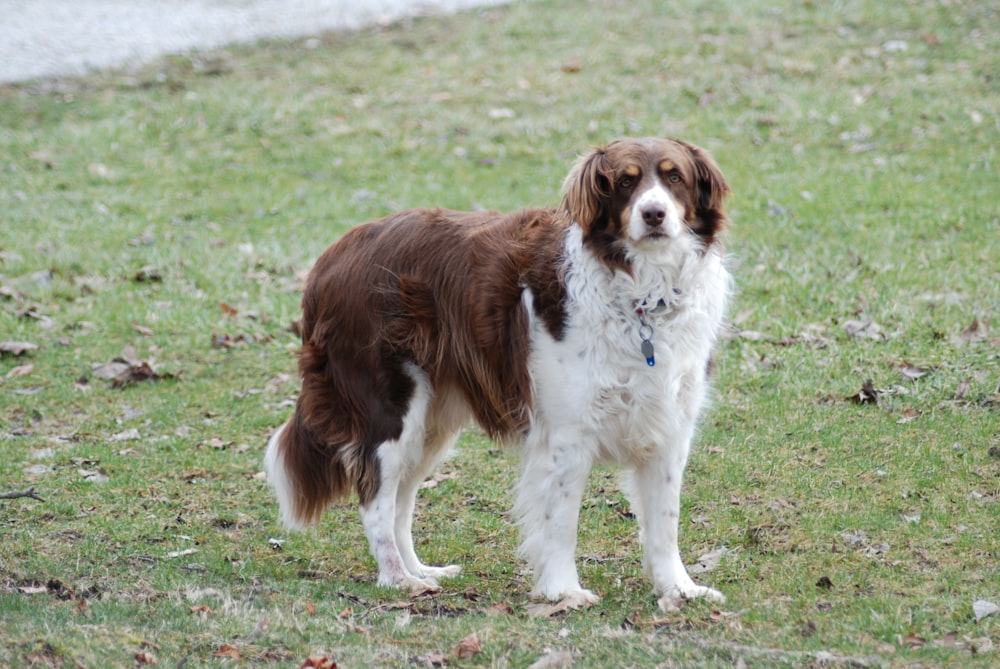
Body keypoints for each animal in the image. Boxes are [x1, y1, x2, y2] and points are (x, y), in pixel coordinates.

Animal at [264, 137, 736, 612]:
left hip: (432, 422)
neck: (643, 294)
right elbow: (561, 520)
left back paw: (421, 571)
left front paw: (679, 588)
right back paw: (398, 580)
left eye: (674, 177)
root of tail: (332, 257)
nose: (654, 214)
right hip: (390, 412)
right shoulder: (568, 434)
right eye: (625, 181)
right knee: (376, 500)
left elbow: (665, 522)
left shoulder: (670, 427)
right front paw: (563, 590)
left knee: (401, 499)